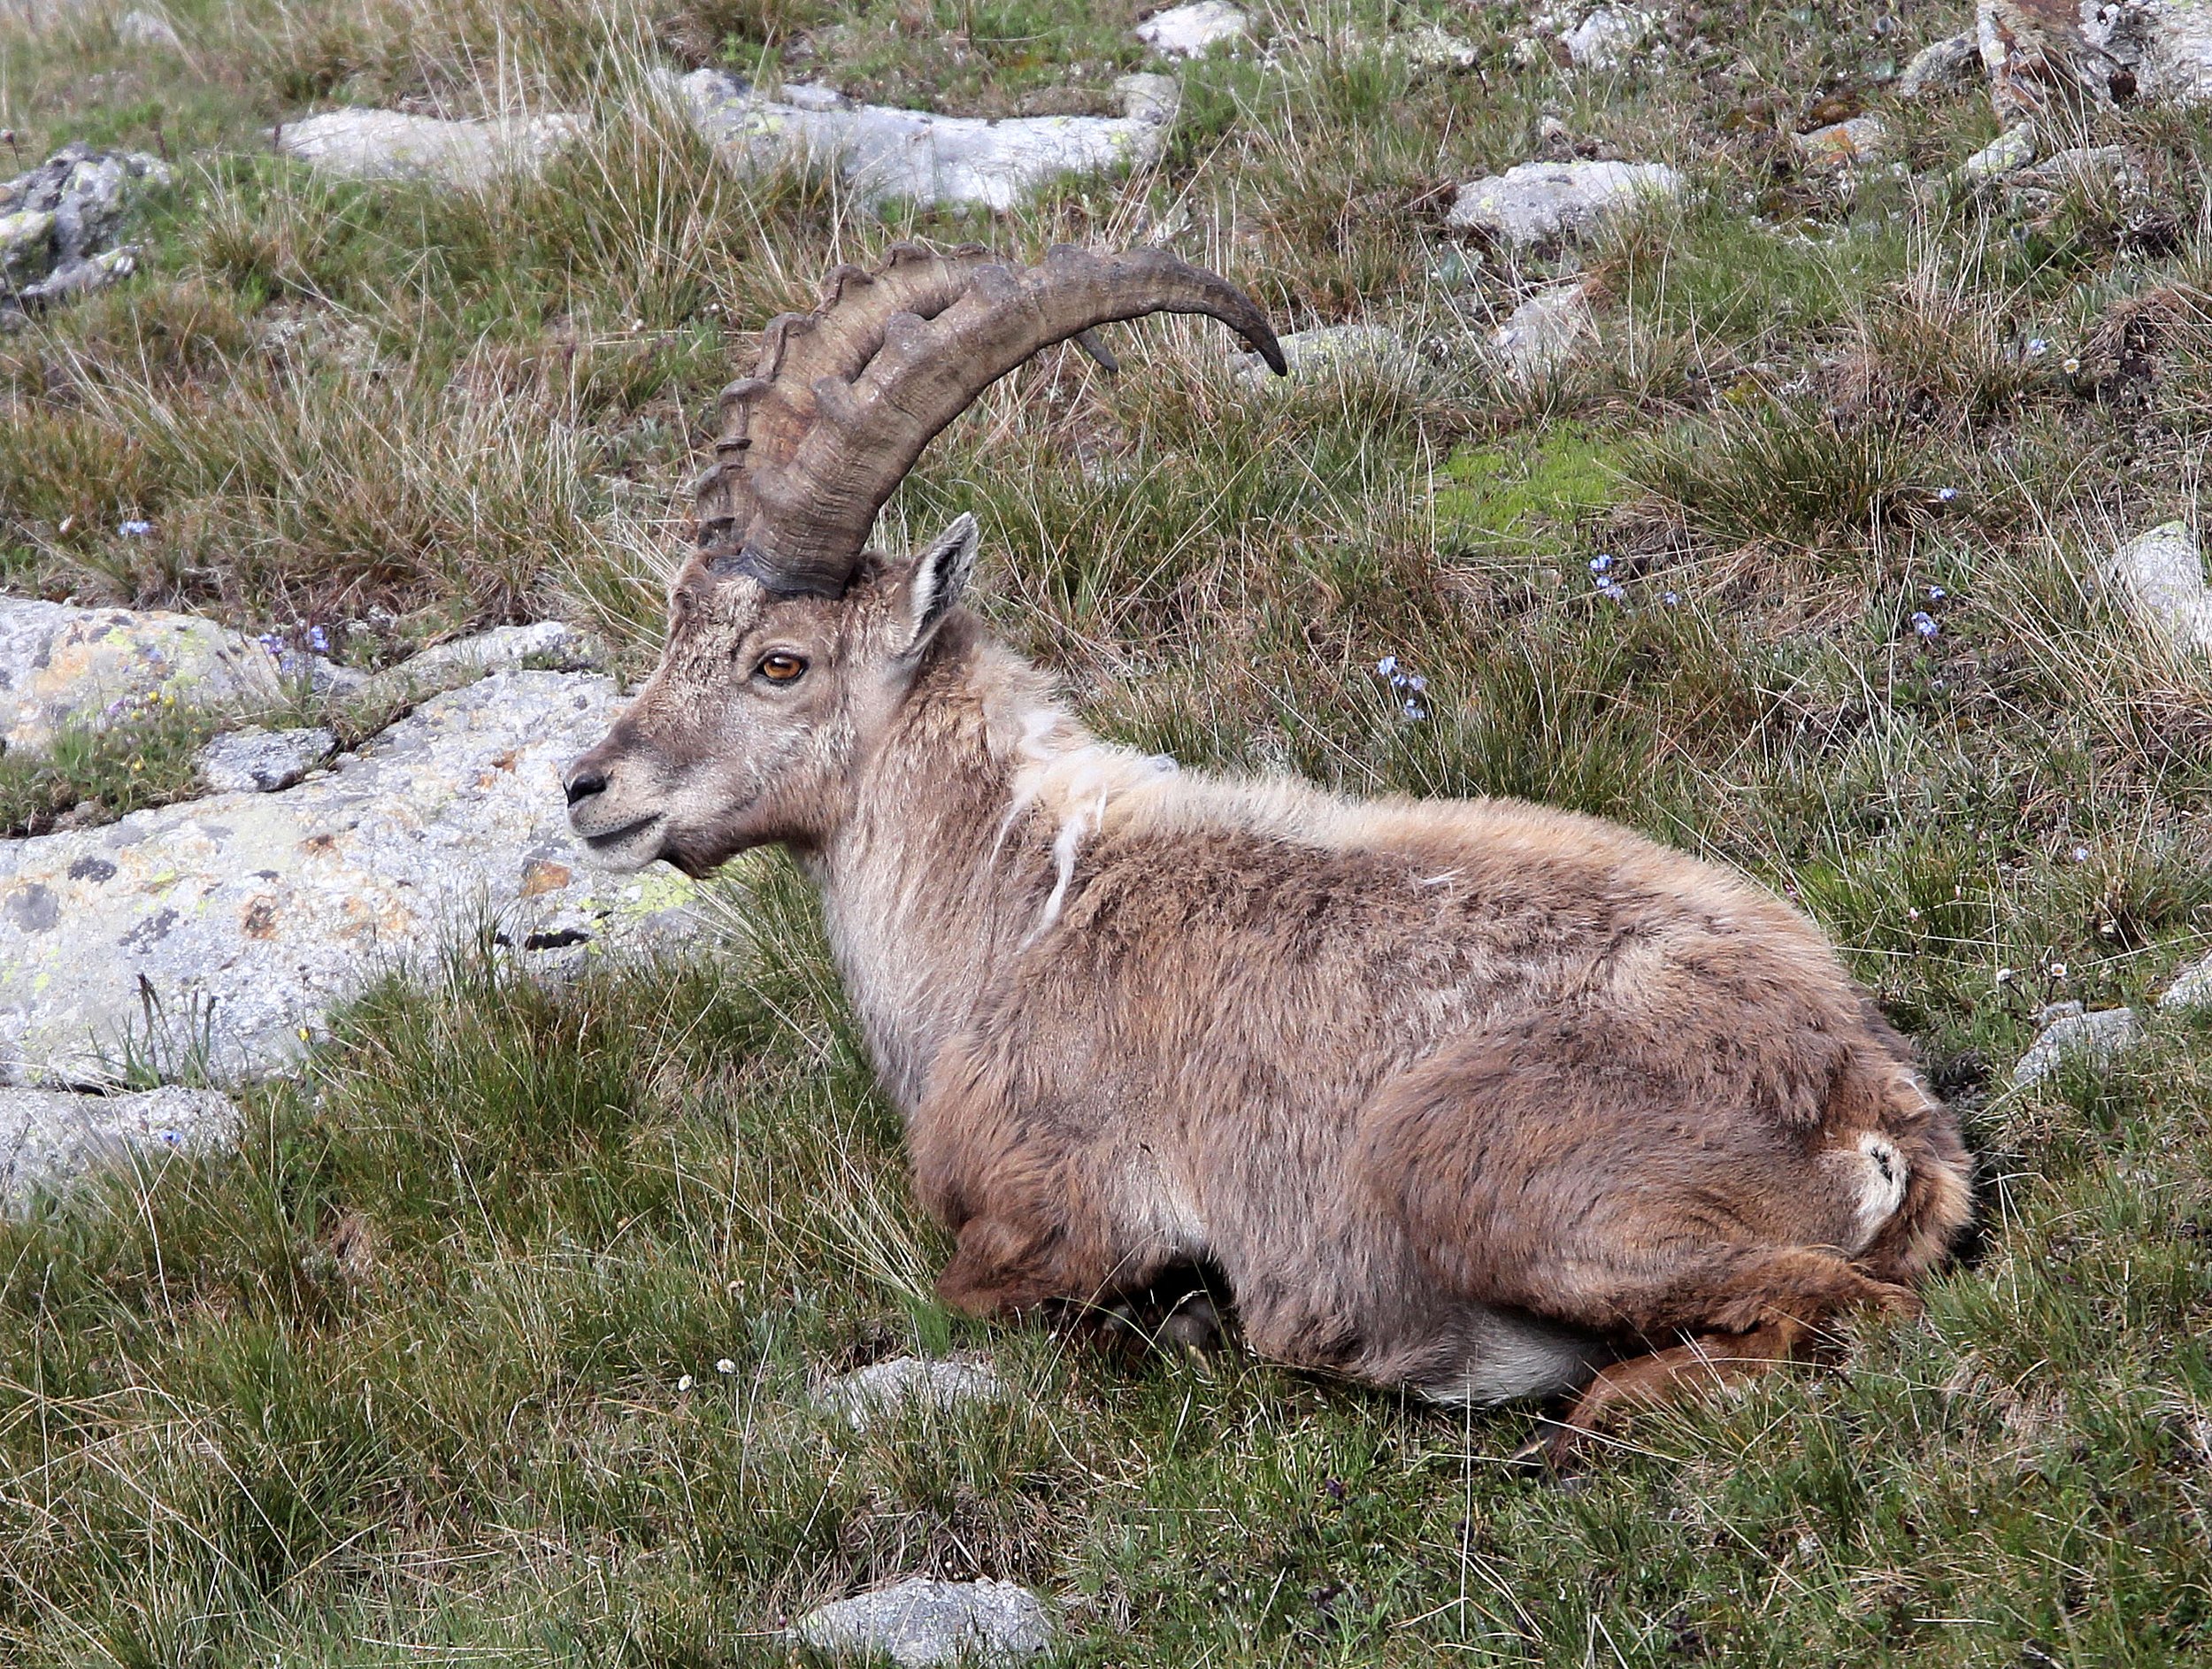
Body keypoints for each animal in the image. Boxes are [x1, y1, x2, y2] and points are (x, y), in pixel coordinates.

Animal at [564, 245, 1972, 1455]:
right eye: (677, 620)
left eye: (779, 662)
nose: (588, 787)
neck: (1014, 902)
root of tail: (1866, 1108)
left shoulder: (1055, 1205)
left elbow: (997, 1293)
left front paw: (1186, 1315)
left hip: (1459, 1161)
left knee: (1854, 1309)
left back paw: (1583, 1410)